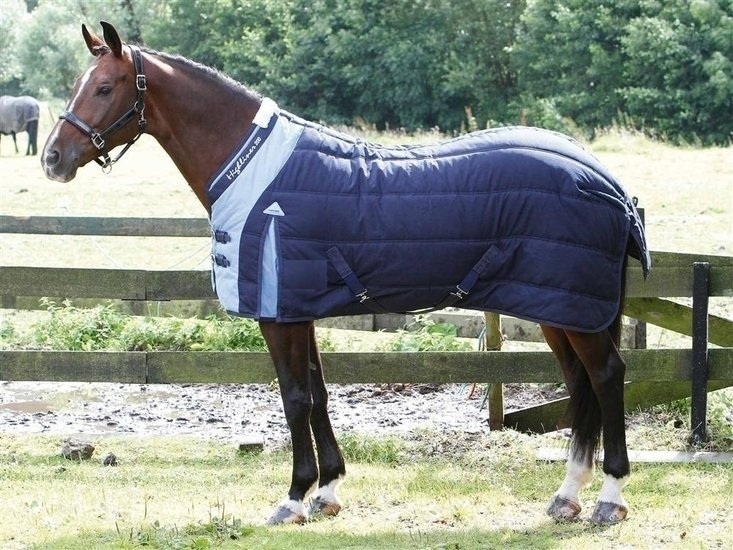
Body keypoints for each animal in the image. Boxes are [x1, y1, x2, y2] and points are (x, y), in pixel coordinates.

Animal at [42, 22, 650, 526]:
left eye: (105, 87)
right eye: (78, 83)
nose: (52, 158)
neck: (255, 170)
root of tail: (610, 184)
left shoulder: (278, 312)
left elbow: (294, 398)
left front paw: (294, 497)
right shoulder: (301, 307)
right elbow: (319, 392)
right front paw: (328, 491)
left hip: (575, 309)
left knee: (606, 376)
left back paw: (609, 499)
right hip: (562, 309)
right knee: (579, 384)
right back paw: (566, 495)